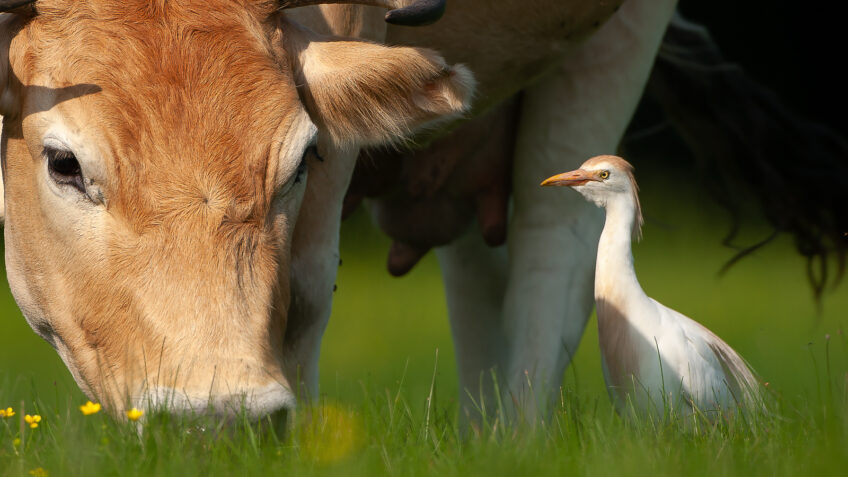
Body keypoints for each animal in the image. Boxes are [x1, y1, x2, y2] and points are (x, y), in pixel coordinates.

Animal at [1, 0, 848, 418]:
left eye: (303, 160)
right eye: (64, 163)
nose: (219, 415)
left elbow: (305, 297)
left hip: (613, 47)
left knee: (551, 264)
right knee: (481, 278)